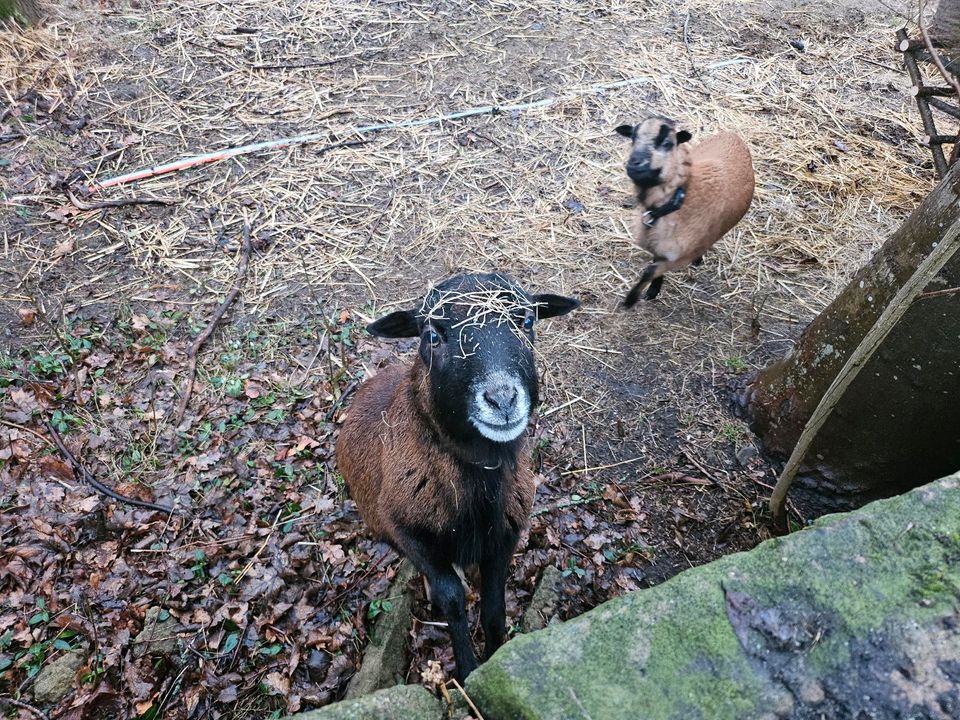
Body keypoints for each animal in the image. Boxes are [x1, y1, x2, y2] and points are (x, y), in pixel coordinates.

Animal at [338, 272, 576, 680]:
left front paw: (495, 659)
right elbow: (451, 596)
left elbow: (494, 604)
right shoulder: (408, 531)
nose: (502, 399)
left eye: (527, 321)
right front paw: (466, 668)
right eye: (432, 335)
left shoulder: (507, 534)